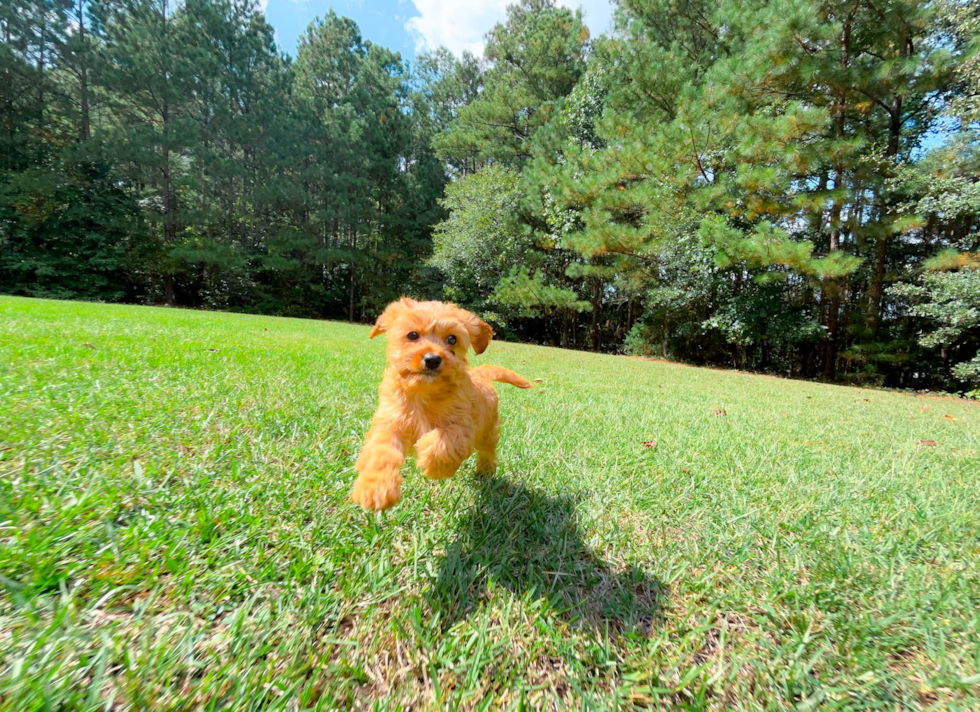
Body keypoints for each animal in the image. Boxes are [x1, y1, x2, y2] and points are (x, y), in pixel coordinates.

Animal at [352, 298, 532, 508]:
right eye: (412, 335)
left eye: (452, 339)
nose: (432, 359)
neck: (424, 392)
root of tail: (481, 375)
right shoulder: (391, 420)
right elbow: (381, 451)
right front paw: (375, 488)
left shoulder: (463, 425)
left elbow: (445, 441)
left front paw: (433, 464)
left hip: (487, 432)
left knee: (487, 452)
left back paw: (485, 472)